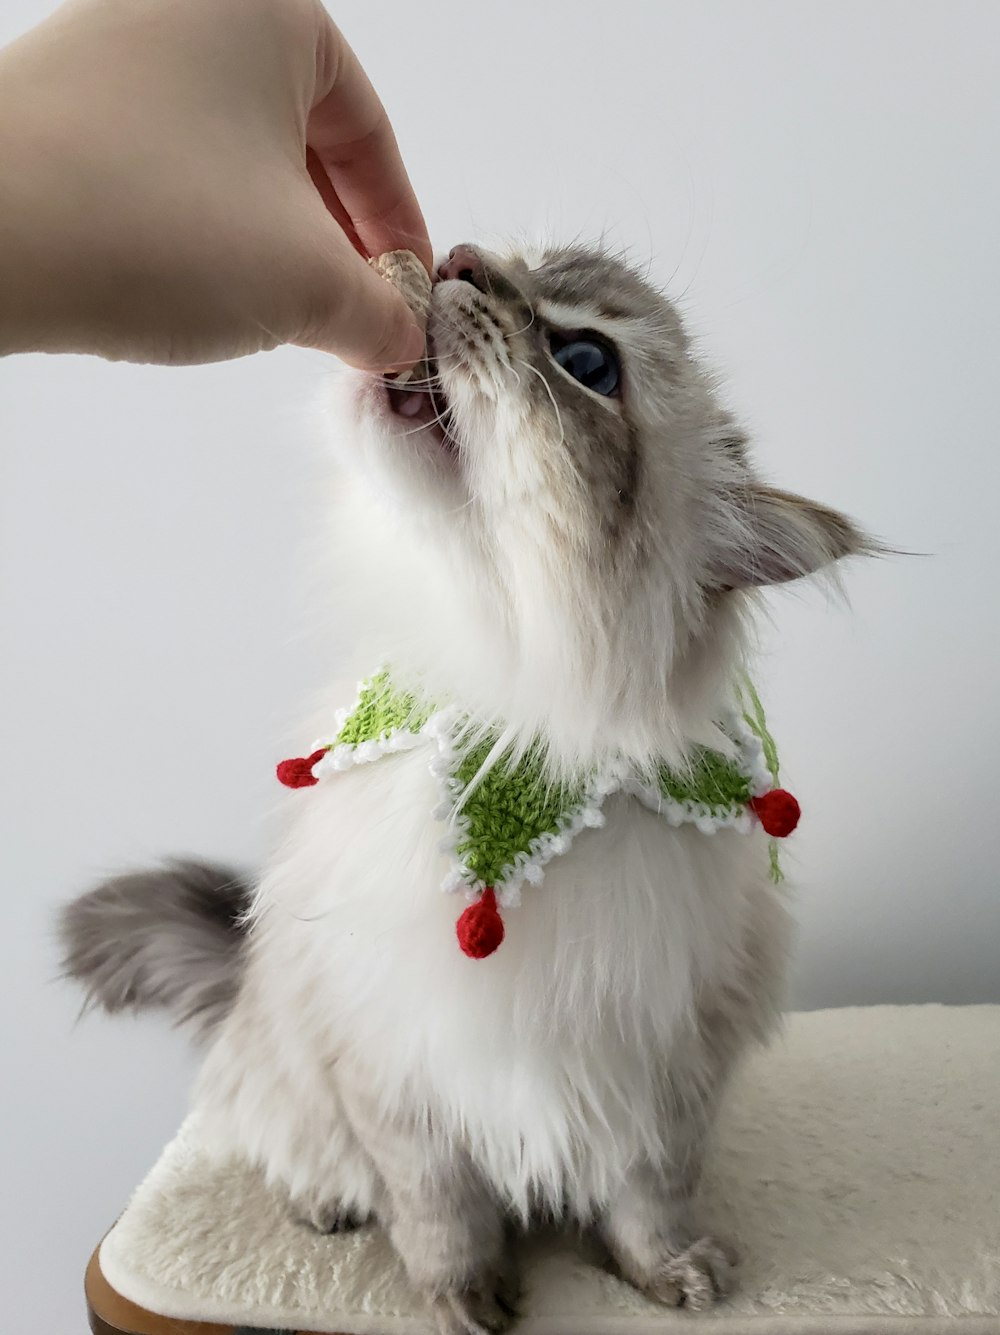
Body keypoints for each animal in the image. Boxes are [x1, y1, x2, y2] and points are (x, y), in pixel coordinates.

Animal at [64, 242, 875, 1335]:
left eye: (586, 361)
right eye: (520, 263)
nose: (458, 258)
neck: (514, 727)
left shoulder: (660, 1063)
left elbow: (650, 1198)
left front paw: (668, 1276)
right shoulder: (395, 1065)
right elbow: (441, 1213)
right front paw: (462, 1301)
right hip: (288, 1054)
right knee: (282, 1137)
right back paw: (324, 1206)